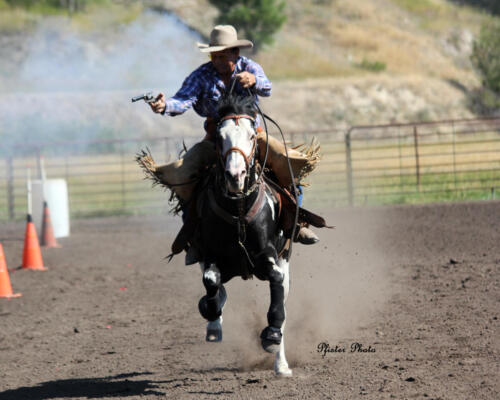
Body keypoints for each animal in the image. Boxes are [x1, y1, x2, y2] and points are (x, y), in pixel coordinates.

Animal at [192, 95, 292, 376]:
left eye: (251, 135)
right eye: (219, 136)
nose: (235, 176)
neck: (238, 209)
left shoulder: (271, 256)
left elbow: (276, 285)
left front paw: (271, 335)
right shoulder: (210, 254)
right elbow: (211, 281)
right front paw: (211, 314)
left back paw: (281, 364)